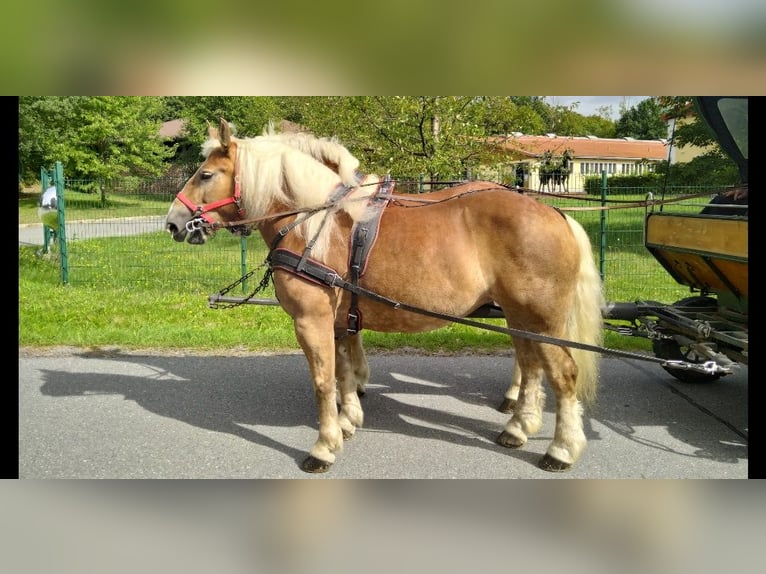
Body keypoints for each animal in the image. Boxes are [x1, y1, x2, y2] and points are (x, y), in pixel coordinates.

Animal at [165, 118, 605, 473]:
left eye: (205, 174)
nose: (173, 223)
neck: (314, 223)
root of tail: (555, 214)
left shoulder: (311, 320)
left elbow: (322, 380)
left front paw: (324, 446)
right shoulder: (339, 319)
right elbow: (343, 370)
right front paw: (347, 421)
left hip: (542, 318)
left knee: (562, 374)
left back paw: (561, 449)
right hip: (520, 315)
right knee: (530, 365)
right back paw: (518, 427)